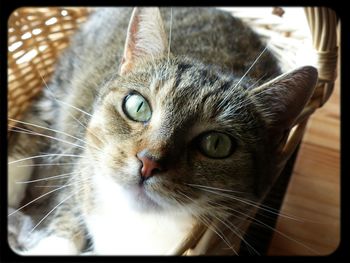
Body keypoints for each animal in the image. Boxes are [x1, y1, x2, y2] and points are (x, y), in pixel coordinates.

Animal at [6, 7, 318, 256]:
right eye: (137, 106)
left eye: (217, 144)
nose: (149, 162)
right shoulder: (84, 166)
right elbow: (69, 205)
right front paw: (53, 246)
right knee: (35, 123)